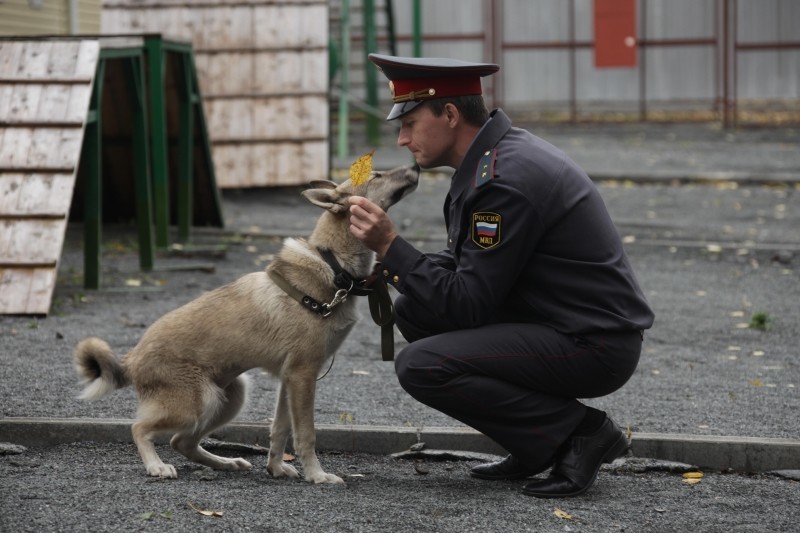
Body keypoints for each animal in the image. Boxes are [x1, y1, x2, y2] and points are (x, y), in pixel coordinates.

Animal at [73, 165, 418, 482]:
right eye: (377, 175)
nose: (415, 166)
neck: (332, 265)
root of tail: (131, 358)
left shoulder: (290, 380)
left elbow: (280, 429)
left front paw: (276, 468)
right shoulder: (303, 375)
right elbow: (306, 433)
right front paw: (317, 475)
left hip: (229, 398)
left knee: (182, 441)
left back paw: (226, 463)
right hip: (196, 403)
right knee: (140, 428)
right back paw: (156, 465)